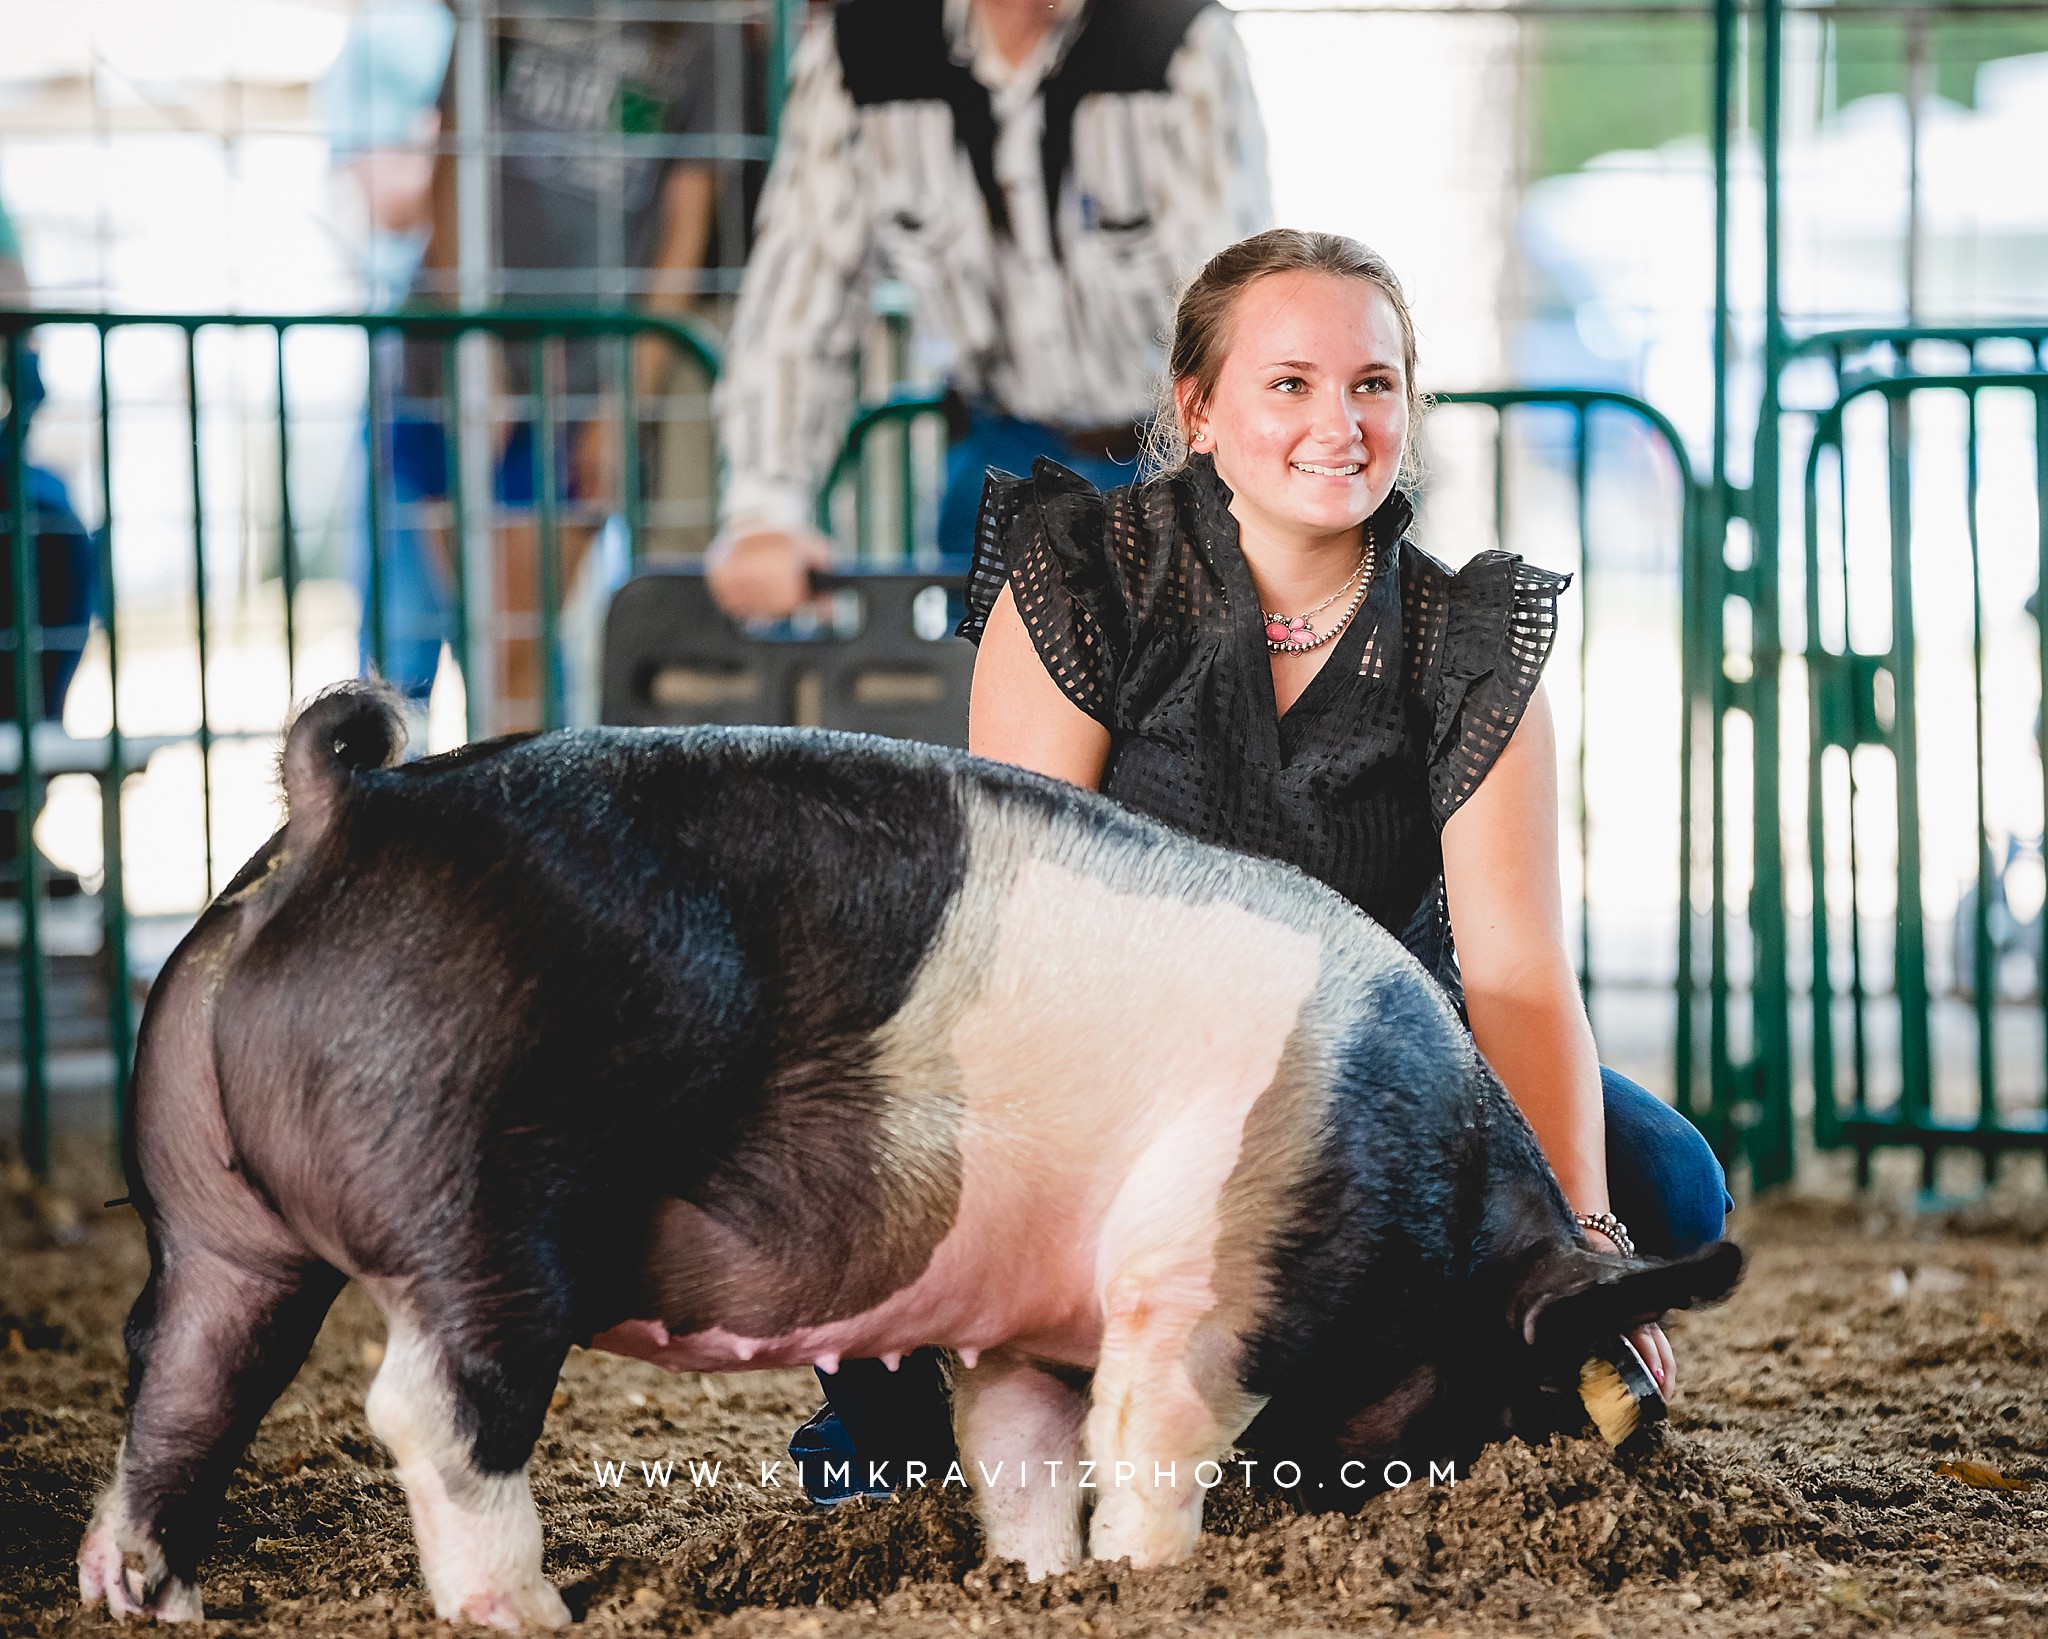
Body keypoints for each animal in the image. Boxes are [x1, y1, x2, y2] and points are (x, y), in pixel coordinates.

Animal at [83, 680, 1744, 1622]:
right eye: (1517, 1389)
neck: (1443, 1209)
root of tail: (344, 804)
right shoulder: (1204, 1269)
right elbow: (1153, 1431)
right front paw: (1156, 1581)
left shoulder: (1025, 1319)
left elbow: (1023, 1445)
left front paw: (1038, 1583)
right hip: (477, 1189)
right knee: (429, 1406)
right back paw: (532, 1611)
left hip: (208, 1201)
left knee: (184, 1368)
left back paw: (144, 1595)